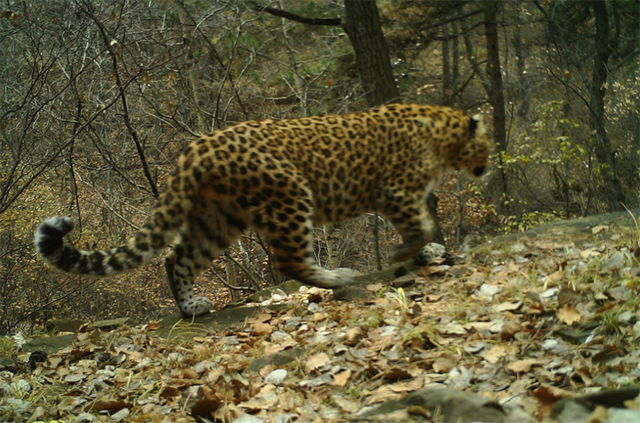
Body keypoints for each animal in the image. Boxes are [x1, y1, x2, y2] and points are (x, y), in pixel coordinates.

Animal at [35, 104, 490, 318]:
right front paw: (411, 252)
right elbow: (421, 224)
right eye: (484, 147)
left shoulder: (404, 197)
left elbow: (424, 225)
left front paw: (429, 252)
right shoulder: (396, 192)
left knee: (176, 258)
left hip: (218, 218)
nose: (486, 168)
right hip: (289, 192)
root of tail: (197, 148)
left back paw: (191, 307)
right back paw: (336, 277)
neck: (443, 136)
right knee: (289, 259)